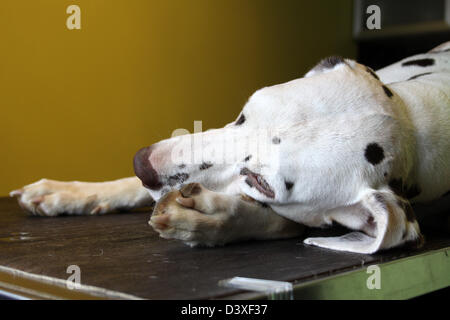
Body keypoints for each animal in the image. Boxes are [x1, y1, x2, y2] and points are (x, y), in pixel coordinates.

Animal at [10, 42, 450, 254]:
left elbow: (284, 222)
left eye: (258, 180)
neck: (422, 116)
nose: (142, 163)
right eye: (243, 114)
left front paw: (214, 219)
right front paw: (72, 192)